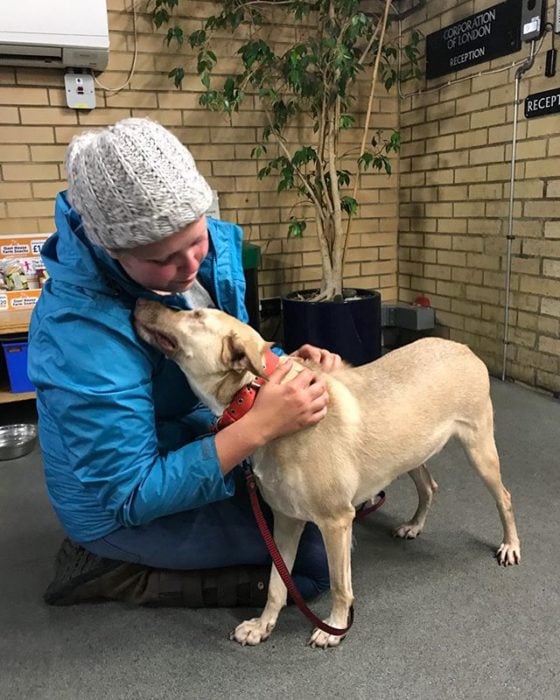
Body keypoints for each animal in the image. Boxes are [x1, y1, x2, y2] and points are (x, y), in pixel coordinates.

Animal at [135, 300, 520, 652]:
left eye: (196, 316)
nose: (139, 302)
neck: (257, 396)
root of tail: (463, 348)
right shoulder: (286, 520)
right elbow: (277, 583)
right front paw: (262, 625)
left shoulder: (336, 521)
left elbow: (339, 585)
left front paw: (334, 627)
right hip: (410, 452)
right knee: (429, 486)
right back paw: (414, 525)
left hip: (479, 449)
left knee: (504, 497)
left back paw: (510, 546)